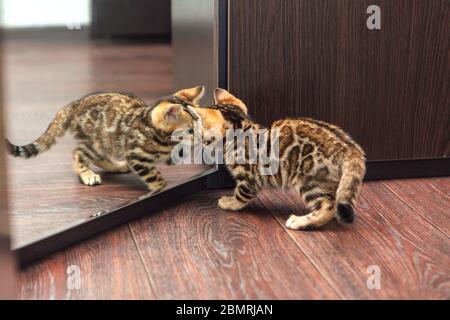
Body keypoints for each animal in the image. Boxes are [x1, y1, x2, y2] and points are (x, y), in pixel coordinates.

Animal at [6, 85, 204, 194]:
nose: (201, 137)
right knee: (78, 152)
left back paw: (118, 166)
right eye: (189, 129)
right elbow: (153, 174)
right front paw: (160, 187)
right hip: (98, 141)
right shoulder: (135, 155)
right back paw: (87, 174)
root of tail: (73, 105)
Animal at [197, 88, 366, 230]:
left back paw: (300, 222)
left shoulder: (249, 178)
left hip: (310, 181)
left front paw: (230, 202)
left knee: (328, 206)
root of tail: (350, 148)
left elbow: (241, 194)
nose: (199, 139)